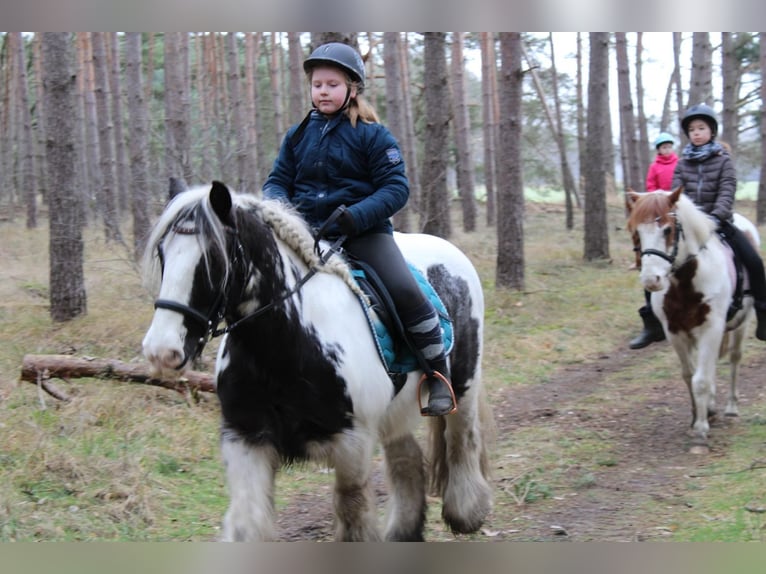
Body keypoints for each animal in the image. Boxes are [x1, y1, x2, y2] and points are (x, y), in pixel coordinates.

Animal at [632, 189, 760, 454]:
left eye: (667, 230)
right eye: (637, 231)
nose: (651, 280)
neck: (686, 282)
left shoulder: (711, 329)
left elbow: (700, 379)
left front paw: (701, 431)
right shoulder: (675, 332)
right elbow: (690, 375)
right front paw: (697, 418)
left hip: (741, 324)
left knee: (734, 358)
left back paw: (731, 408)